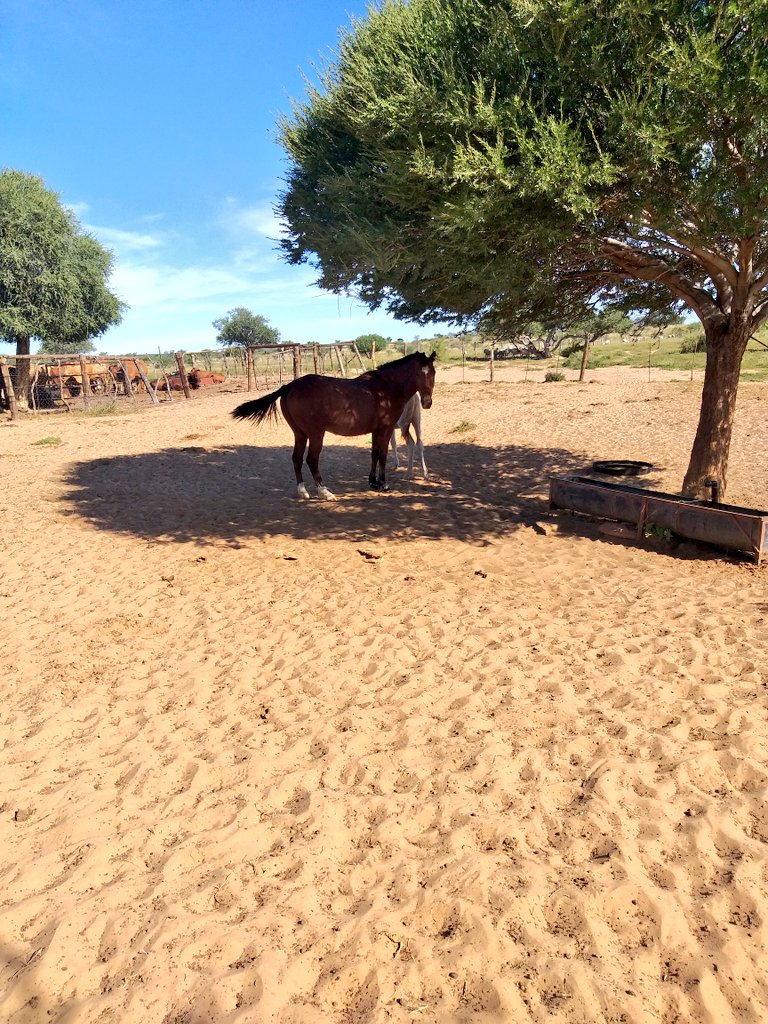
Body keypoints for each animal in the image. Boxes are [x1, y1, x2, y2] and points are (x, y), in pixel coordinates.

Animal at [231, 351, 436, 500]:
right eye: (418, 373)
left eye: (432, 372)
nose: (427, 403)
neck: (386, 387)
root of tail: (289, 386)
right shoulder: (385, 429)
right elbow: (383, 455)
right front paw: (383, 484)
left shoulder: (376, 431)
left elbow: (374, 454)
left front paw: (373, 482)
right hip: (316, 434)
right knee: (311, 460)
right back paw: (325, 492)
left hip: (300, 434)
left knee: (296, 458)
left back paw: (303, 492)